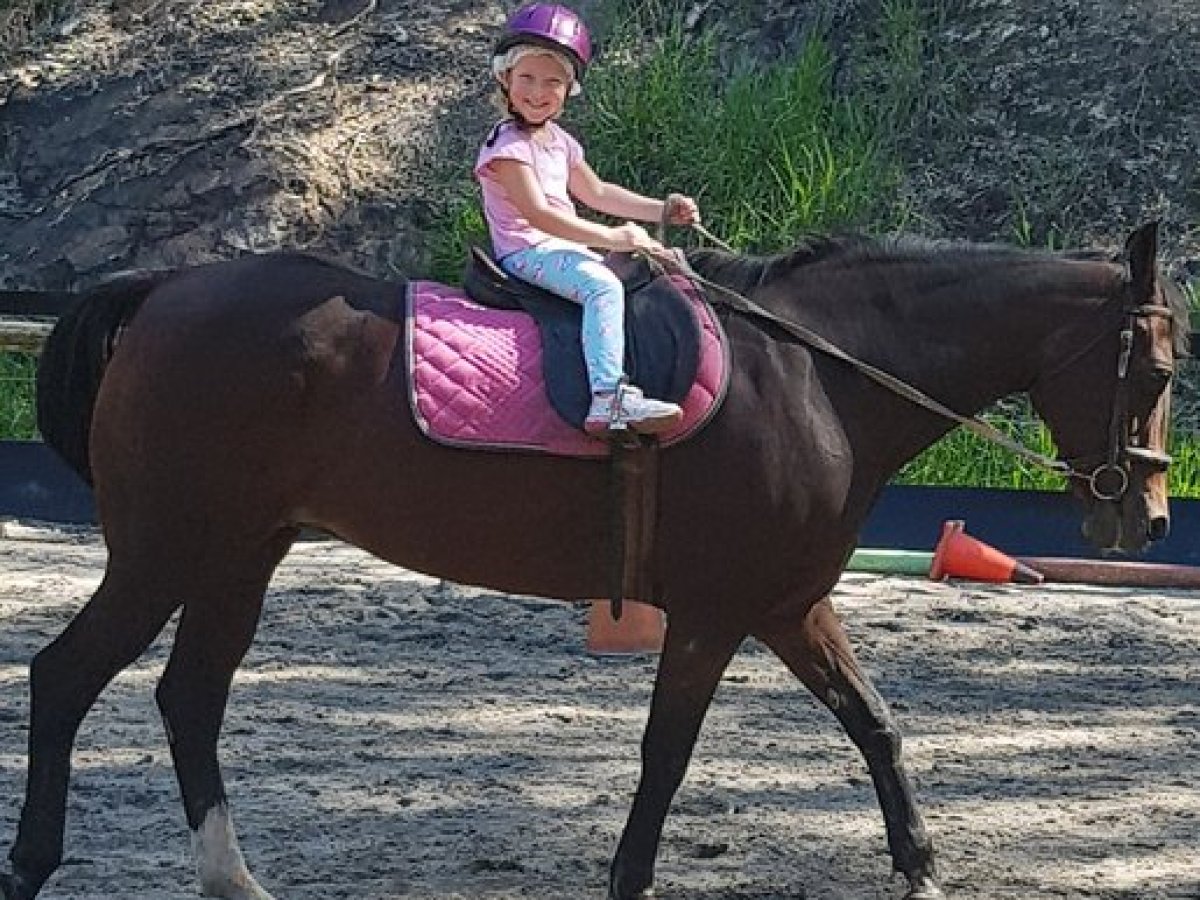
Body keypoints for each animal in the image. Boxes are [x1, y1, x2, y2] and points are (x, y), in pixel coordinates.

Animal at [0, 223, 1186, 900]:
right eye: (1160, 369)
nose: (1148, 522)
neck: (820, 377)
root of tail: (164, 291)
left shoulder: (790, 604)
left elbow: (876, 721)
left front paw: (921, 866)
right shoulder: (715, 612)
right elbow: (667, 754)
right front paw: (628, 877)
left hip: (238, 558)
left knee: (188, 697)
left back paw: (232, 877)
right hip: (165, 552)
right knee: (65, 678)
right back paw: (35, 863)